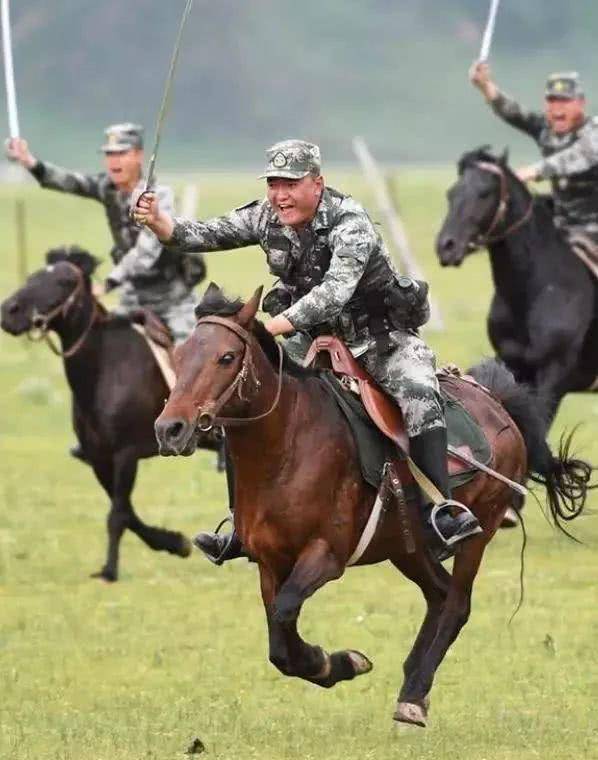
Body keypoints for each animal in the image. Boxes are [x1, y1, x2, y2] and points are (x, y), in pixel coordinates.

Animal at [0, 246, 219, 582]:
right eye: (33, 276)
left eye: (64, 281)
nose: (9, 311)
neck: (105, 367)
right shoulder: (99, 458)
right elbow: (126, 512)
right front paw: (174, 543)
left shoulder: (126, 454)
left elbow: (117, 514)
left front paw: (110, 570)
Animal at [153, 283, 592, 726]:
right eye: (179, 356)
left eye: (226, 357)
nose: (170, 429)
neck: (289, 446)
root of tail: (499, 404)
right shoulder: (269, 562)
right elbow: (280, 643)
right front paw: (336, 663)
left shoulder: (325, 556)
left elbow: (284, 613)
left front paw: (338, 662)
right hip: (407, 547)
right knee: (439, 595)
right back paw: (413, 681)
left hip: (476, 534)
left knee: (457, 605)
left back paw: (414, 694)